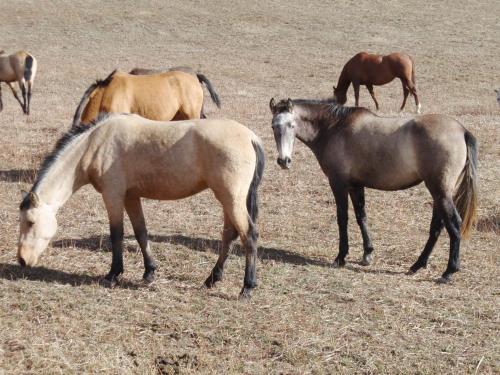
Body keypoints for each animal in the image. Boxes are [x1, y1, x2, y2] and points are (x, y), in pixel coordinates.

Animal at [17, 114, 264, 300]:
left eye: (30, 222)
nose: (22, 260)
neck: (95, 144)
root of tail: (251, 137)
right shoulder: (131, 197)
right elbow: (140, 232)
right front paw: (149, 272)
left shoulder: (113, 195)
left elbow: (116, 234)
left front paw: (113, 274)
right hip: (227, 200)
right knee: (228, 235)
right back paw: (212, 279)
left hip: (231, 199)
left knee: (249, 236)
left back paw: (247, 288)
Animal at [270, 98, 476, 284]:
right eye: (273, 126)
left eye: (291, 125)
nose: (284, 161)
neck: (334, 128)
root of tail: (461, 130)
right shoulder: (355, 185)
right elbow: (361, 216)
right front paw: (367, 254)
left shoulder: (338, 183)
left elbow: (342, 218)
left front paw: (341, 257)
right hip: (438, 194)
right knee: (437, 227)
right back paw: (418, 265)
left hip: (440, 193)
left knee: (454, 224)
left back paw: (449, 271)